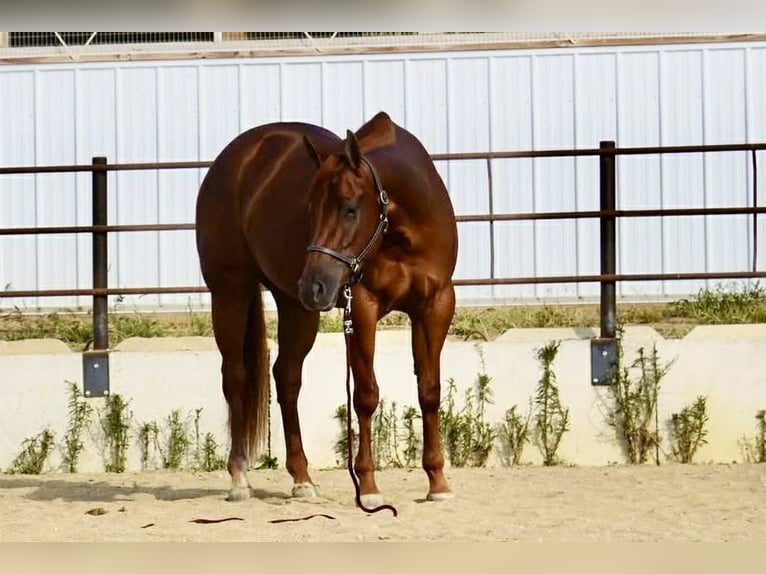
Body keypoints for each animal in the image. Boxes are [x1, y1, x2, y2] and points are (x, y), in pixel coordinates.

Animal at [195, 111, 458, 506]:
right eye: (309, 209)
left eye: (349, 208)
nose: (314, 285)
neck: (402, 233)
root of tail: (236, 158)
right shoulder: (361, 307)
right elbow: (365, 395)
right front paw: (369, 487)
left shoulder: (435, 306)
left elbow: (429, 390)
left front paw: (437, 482)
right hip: (230, 292)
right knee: (236, 375)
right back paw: (239, 478)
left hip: (296, 307)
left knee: (286, 377)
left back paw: (302, 479)